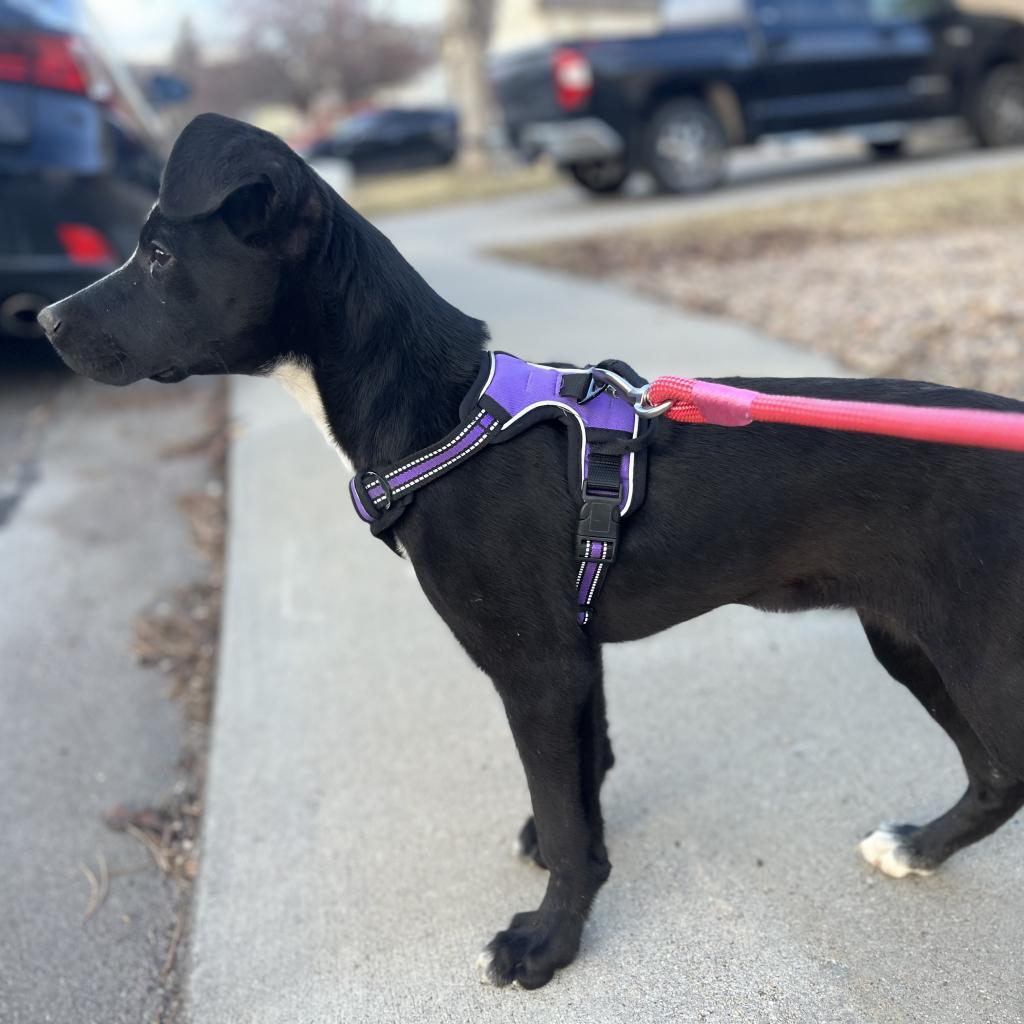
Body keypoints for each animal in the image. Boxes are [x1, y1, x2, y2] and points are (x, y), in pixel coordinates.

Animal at [37, 116, 1024, 987]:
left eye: (159, 257)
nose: (43, 319)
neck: (446, 414)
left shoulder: (535, 667)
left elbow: (567, 805)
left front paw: (547, 942)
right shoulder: (571, 654)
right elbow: (583, 783)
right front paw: (560, 862)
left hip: (977, 652)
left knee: (1006, 767)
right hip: (912, 641)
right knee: (995, 774)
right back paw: (920, 849)